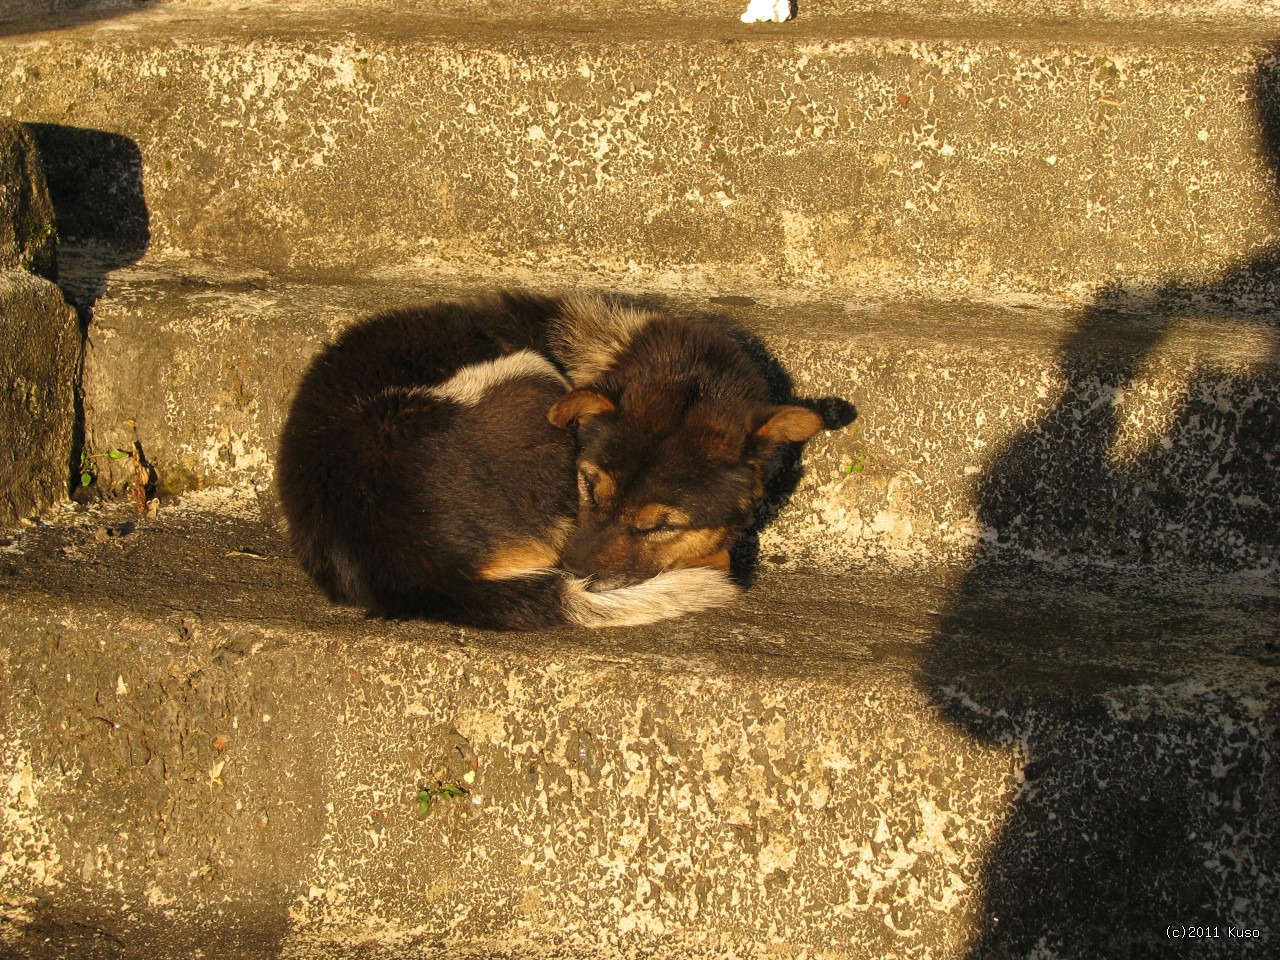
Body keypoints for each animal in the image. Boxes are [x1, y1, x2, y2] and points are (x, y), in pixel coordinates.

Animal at [275, 291, 824, 632]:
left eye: (660, 526)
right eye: (586, 486)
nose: (574, 571)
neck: (612, 351)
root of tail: (421, 572)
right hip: (528, 372)